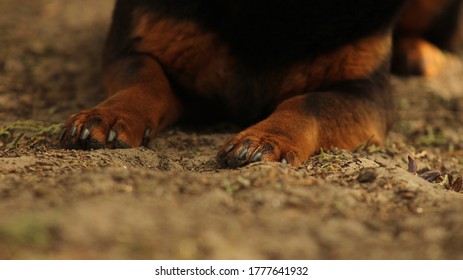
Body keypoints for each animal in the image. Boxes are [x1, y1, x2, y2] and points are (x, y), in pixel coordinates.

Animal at [59, 0, 462, 167]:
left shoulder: (368, 95)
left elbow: (309, 102)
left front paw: (268, 137)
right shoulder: (131, 52)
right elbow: (145, 81)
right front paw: (112, 115)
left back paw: (417, 53)